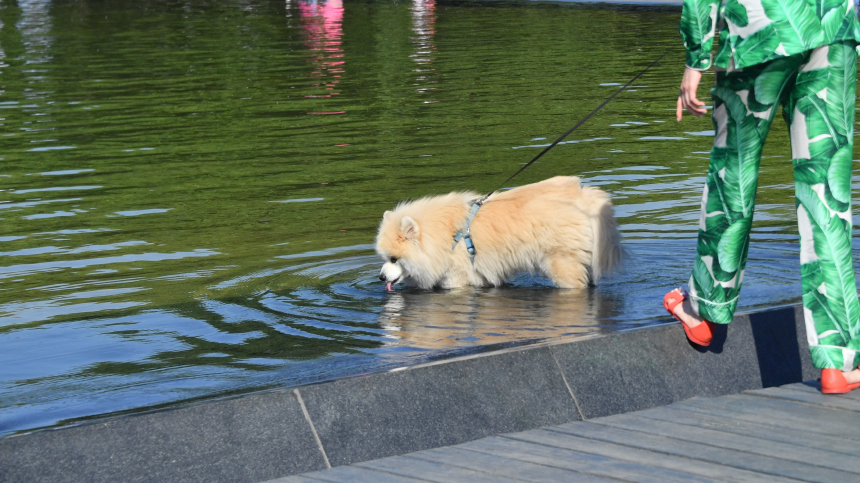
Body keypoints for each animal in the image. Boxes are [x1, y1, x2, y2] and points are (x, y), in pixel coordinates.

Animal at [372, 178, 620, 292]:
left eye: (394, 259)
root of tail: (583, 198)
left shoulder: (456, 277)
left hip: (562, 263)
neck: (448, 238)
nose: (381, 277)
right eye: (384, 258)